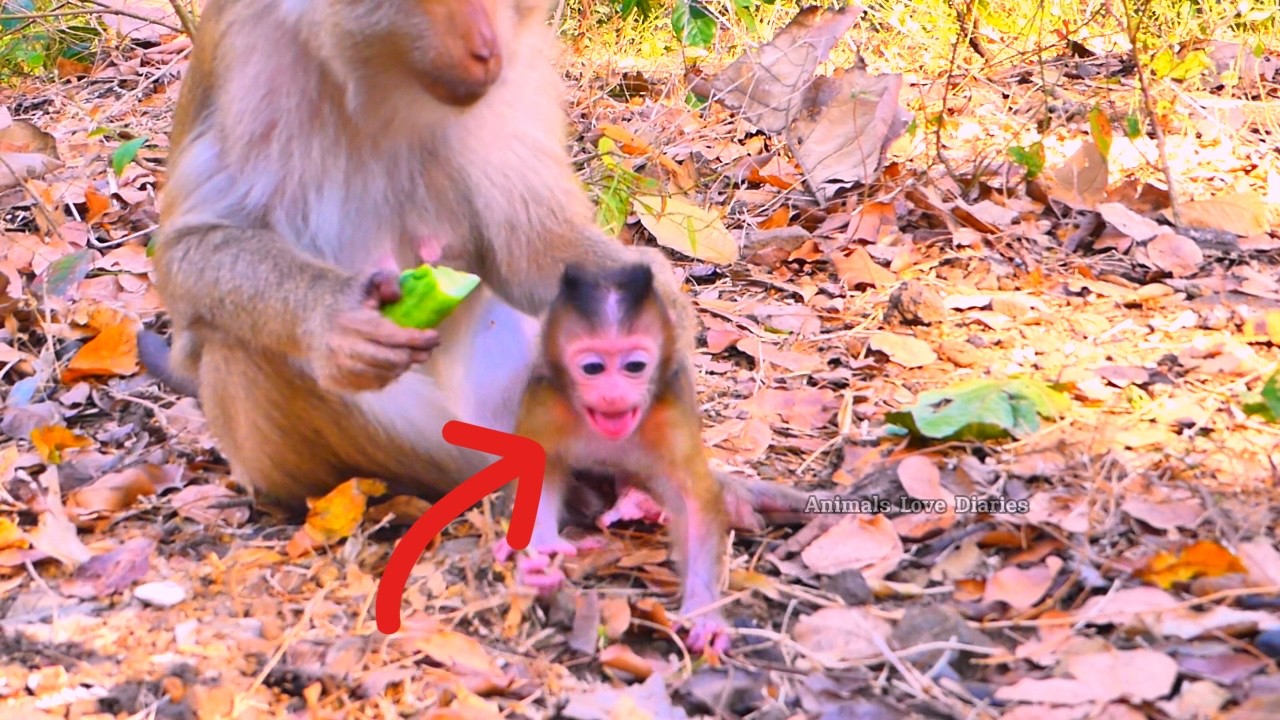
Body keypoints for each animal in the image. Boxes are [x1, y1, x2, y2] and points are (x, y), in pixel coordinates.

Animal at [503, 262, 732, 654]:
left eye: (634, 366)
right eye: (593, 368)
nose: (614, 394)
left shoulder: (669, 412)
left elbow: (696, 499)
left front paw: (703, 610)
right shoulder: (546, 402)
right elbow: (537, 467)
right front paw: (540, 551)